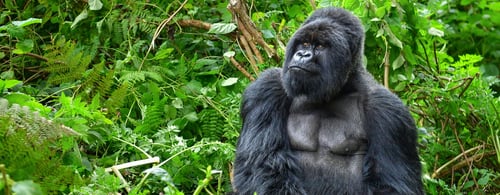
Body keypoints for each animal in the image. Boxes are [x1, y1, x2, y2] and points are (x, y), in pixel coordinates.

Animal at [232, 6, 424, 194]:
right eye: (305, 43)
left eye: (321, 46)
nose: (303, 54)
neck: (338, 89)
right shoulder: (266, 88)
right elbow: (262, 163)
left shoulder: (388, 111)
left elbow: (391, 183)